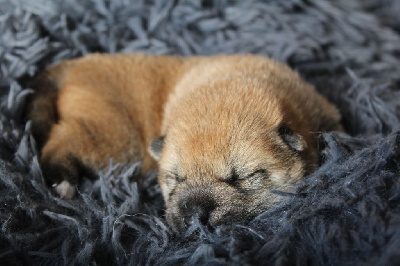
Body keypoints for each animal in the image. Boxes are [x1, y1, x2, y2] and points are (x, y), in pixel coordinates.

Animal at [25, 53, 344, 232]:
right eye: (176, 178)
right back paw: (62, 182)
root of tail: (71, 67)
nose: (195, 217)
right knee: (60, 141)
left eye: (241, 178)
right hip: (113, 137)